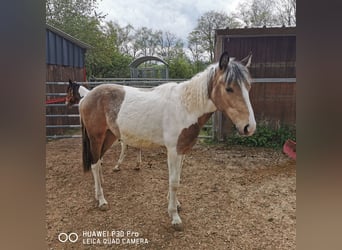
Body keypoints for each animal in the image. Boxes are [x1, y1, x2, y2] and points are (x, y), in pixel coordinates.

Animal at [79, 52, 256, 230]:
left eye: (248, 87)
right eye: (229, 88)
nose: (249, 127)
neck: (185, 108)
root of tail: (87, 96)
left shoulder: (182, 150)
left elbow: (177, 178)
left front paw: (175, 204)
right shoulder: (173, 151)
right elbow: (174, 182)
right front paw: (174, 216)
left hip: (109, 136)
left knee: (98, 161)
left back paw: (100, 188)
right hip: (96, 137)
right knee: (94, 164)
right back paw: (101, 200)